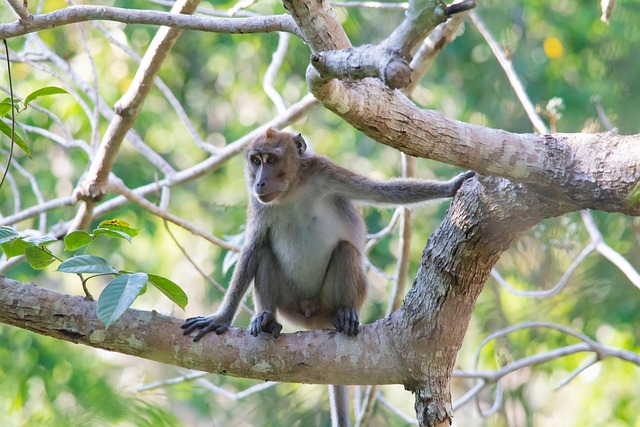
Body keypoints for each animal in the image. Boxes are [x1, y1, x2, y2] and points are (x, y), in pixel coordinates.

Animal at [182, 128, 475, 426]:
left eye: (271, 160)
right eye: (255, 160)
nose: (260, 182)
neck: (293, 187)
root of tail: (315, 316)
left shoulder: (325, 172)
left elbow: (380, 192)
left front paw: (451, 186)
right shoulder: (258, 203)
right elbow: (253, 249)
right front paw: (221, 318)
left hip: (334, 298)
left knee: (345, 249)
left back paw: (344, 313)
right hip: (291, 307)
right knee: (264, 253)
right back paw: (266, 319)